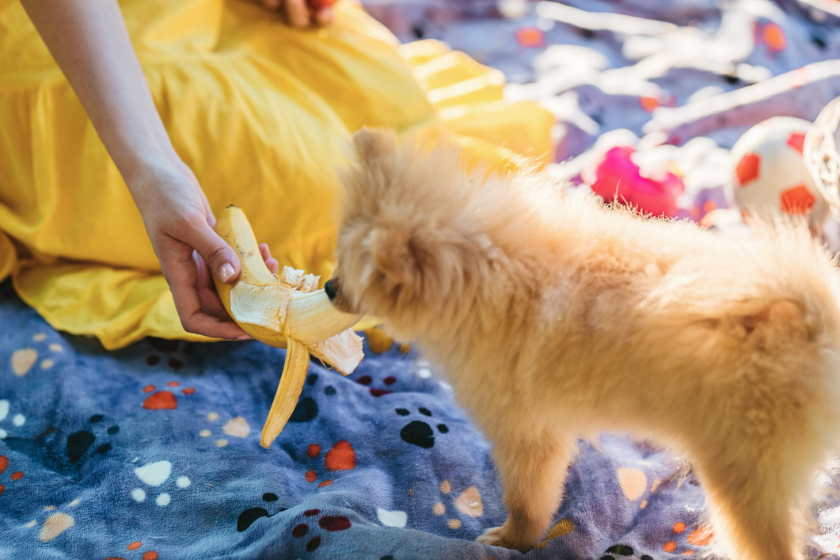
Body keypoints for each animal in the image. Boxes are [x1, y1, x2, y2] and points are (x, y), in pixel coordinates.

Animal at [324, 128, 840, 560]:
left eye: (355, 272)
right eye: (339, 256)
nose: (328, 288)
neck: (490, 269)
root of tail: (816, 322)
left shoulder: (524, 431)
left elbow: (527, 500)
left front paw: (512, 540)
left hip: (745, 475)